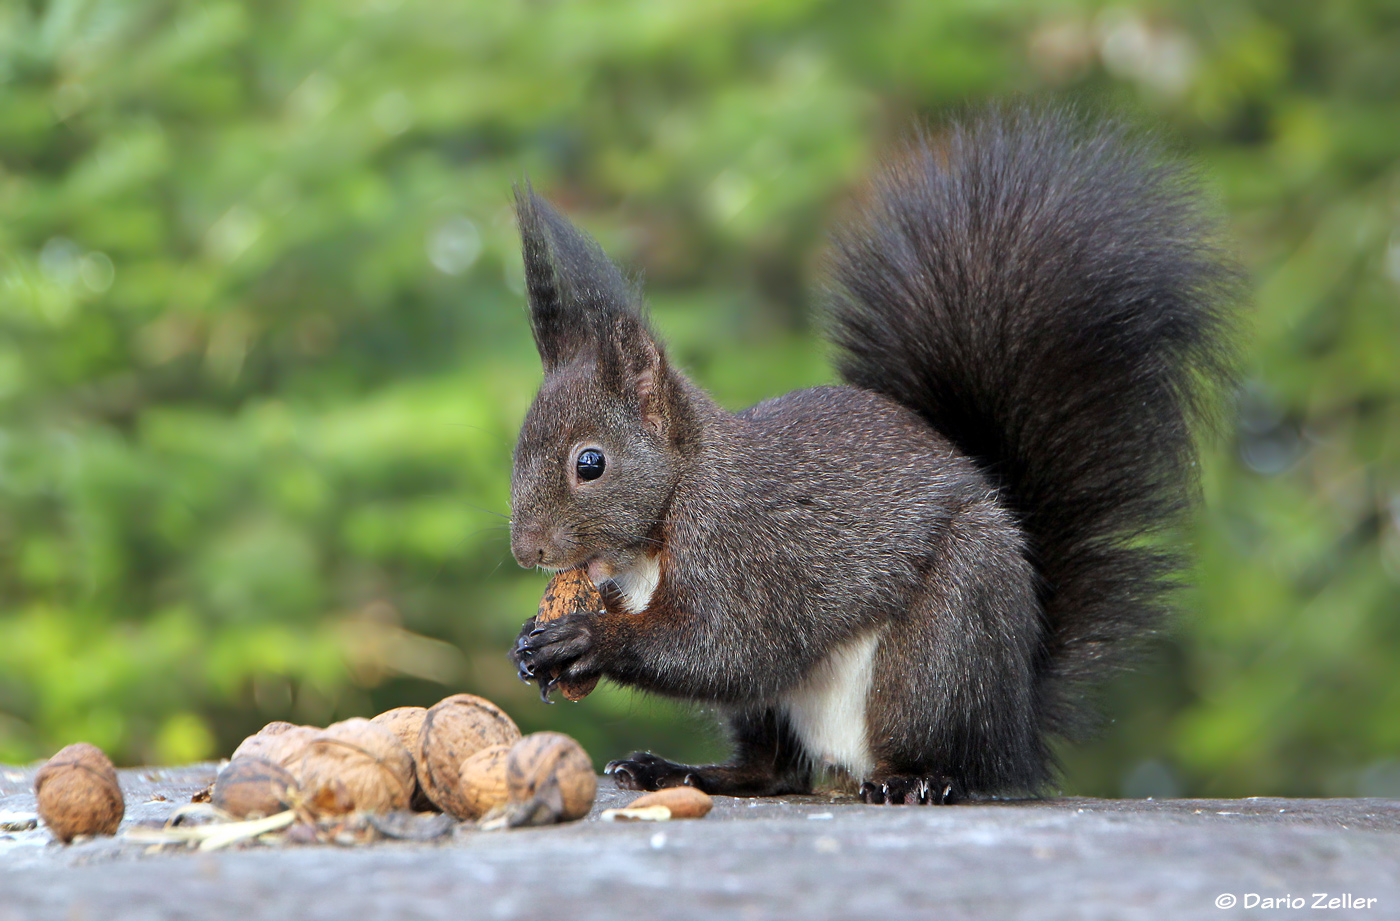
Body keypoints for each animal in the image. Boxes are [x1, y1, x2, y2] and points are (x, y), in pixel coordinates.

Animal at [509, 104, 1243, 800]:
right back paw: (680, 771)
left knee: (941, 753)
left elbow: (726, 648)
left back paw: (918, 778)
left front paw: (583, 639)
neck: (669, 510)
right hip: (775, 711)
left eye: (590, 463)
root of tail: (1016, 723)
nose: (526, 551)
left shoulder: (746, 554)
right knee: (774, 768)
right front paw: (533, 641)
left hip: (941, 645)